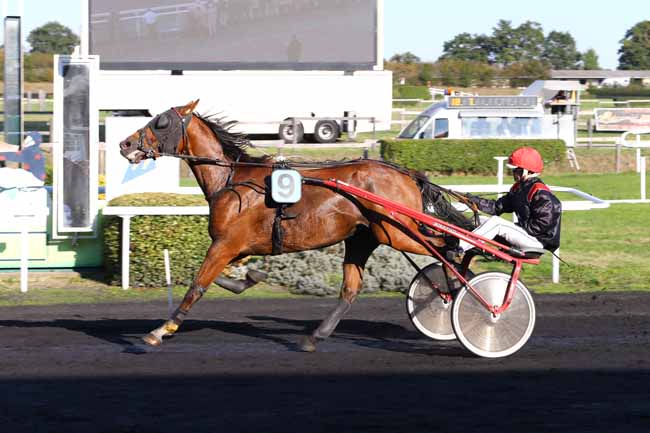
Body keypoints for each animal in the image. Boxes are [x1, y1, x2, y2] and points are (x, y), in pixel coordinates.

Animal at [118, 100, 475, 351]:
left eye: (160, 122)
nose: (125, 144)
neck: (232, 180)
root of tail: (406, 173)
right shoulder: (236, 245)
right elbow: (227, 277)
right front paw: (249, 278)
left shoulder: (225, 243)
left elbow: (197, 285)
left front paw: (161, 330)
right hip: (364, 238)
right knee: (350, 289)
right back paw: (315, 336)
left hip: (399, 232)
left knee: (449, 246)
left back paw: (456, 294)